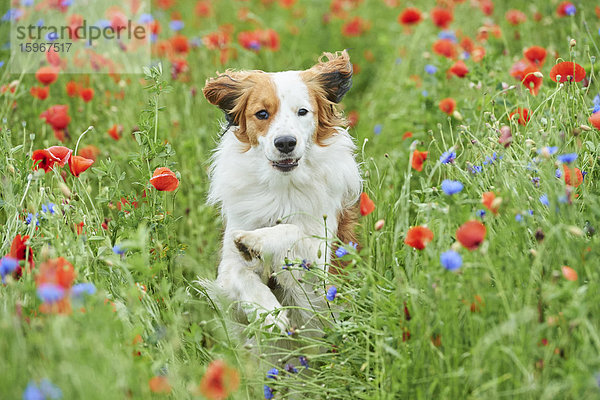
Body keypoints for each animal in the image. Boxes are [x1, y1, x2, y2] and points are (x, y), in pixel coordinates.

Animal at [202, 51, 360, 336]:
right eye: (262, 113)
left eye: (303, 112)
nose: (285, 142)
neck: (283, 187)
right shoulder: (227, 269)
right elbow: (241, 275)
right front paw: (269, 312)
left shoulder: (320, 262)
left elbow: (294, 230)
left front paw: (256, 240)